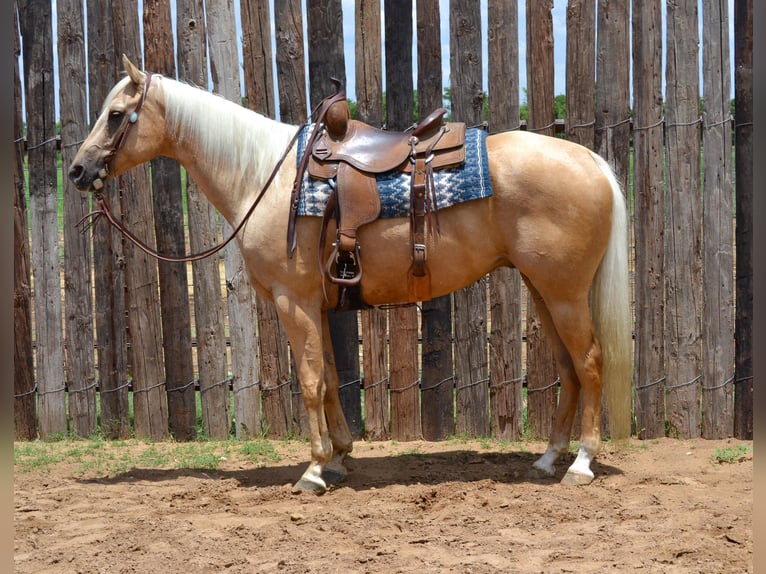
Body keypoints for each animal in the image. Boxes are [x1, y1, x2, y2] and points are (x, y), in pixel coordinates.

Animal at [69, 55, 632, 496]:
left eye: (116, 115)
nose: (77, 171)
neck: (264, 177)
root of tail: (593, 163)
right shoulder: (315, 305)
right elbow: (333, 378)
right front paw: (339, 457)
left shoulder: (292, 300)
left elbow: (311, 380)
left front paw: (314, 470)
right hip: (542, 290)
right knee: (568, 368)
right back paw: (547, 459)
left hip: (564, 293)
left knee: (590, 362)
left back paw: (581, 464)